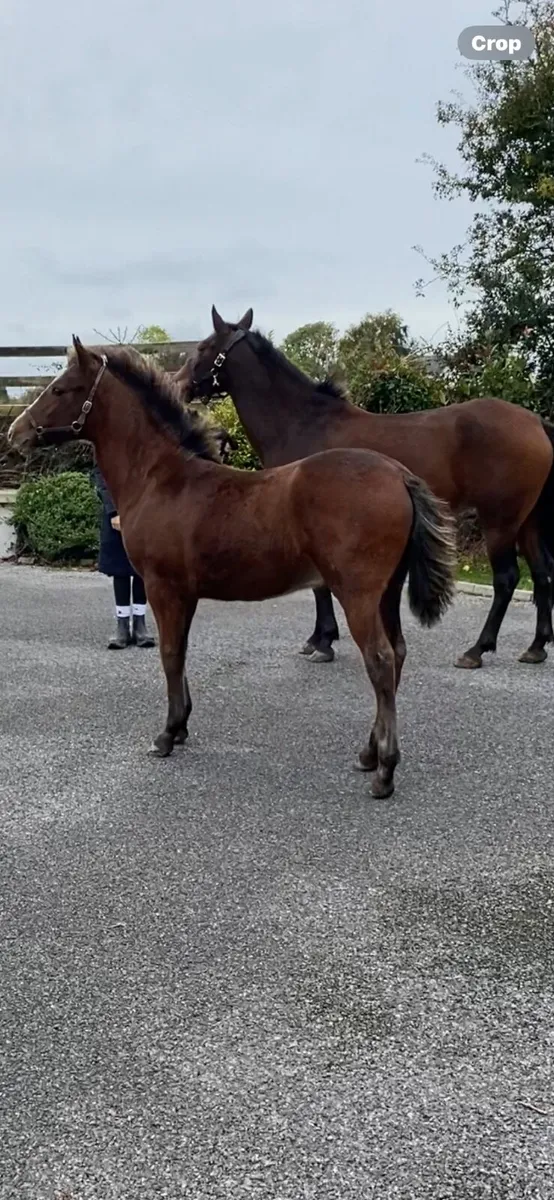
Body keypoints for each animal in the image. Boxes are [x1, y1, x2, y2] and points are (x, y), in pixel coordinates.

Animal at [8, 337, 456, 799]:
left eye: (61, 389)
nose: (15, 432)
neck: (159, 478)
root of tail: (399, 475)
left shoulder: (162, 586)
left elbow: (169, 654)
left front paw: (166, 735)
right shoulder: (184, 592)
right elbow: (181, 651)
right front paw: (181, 726)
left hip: (358, 594)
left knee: (380, 660)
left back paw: (385, 770)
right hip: (387, 591)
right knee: (397, 653)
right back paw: (368, 753)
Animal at [188, 306, 554, 670]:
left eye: (204, 347)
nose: (182, 384)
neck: (303, 423)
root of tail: (536, 422)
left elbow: (320, 588)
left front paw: (323, 641)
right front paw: (319, 639)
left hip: (501, 521)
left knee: (507, 578)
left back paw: (477, 649)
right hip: (528, 520)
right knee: (542, 572)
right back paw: (537, 646)